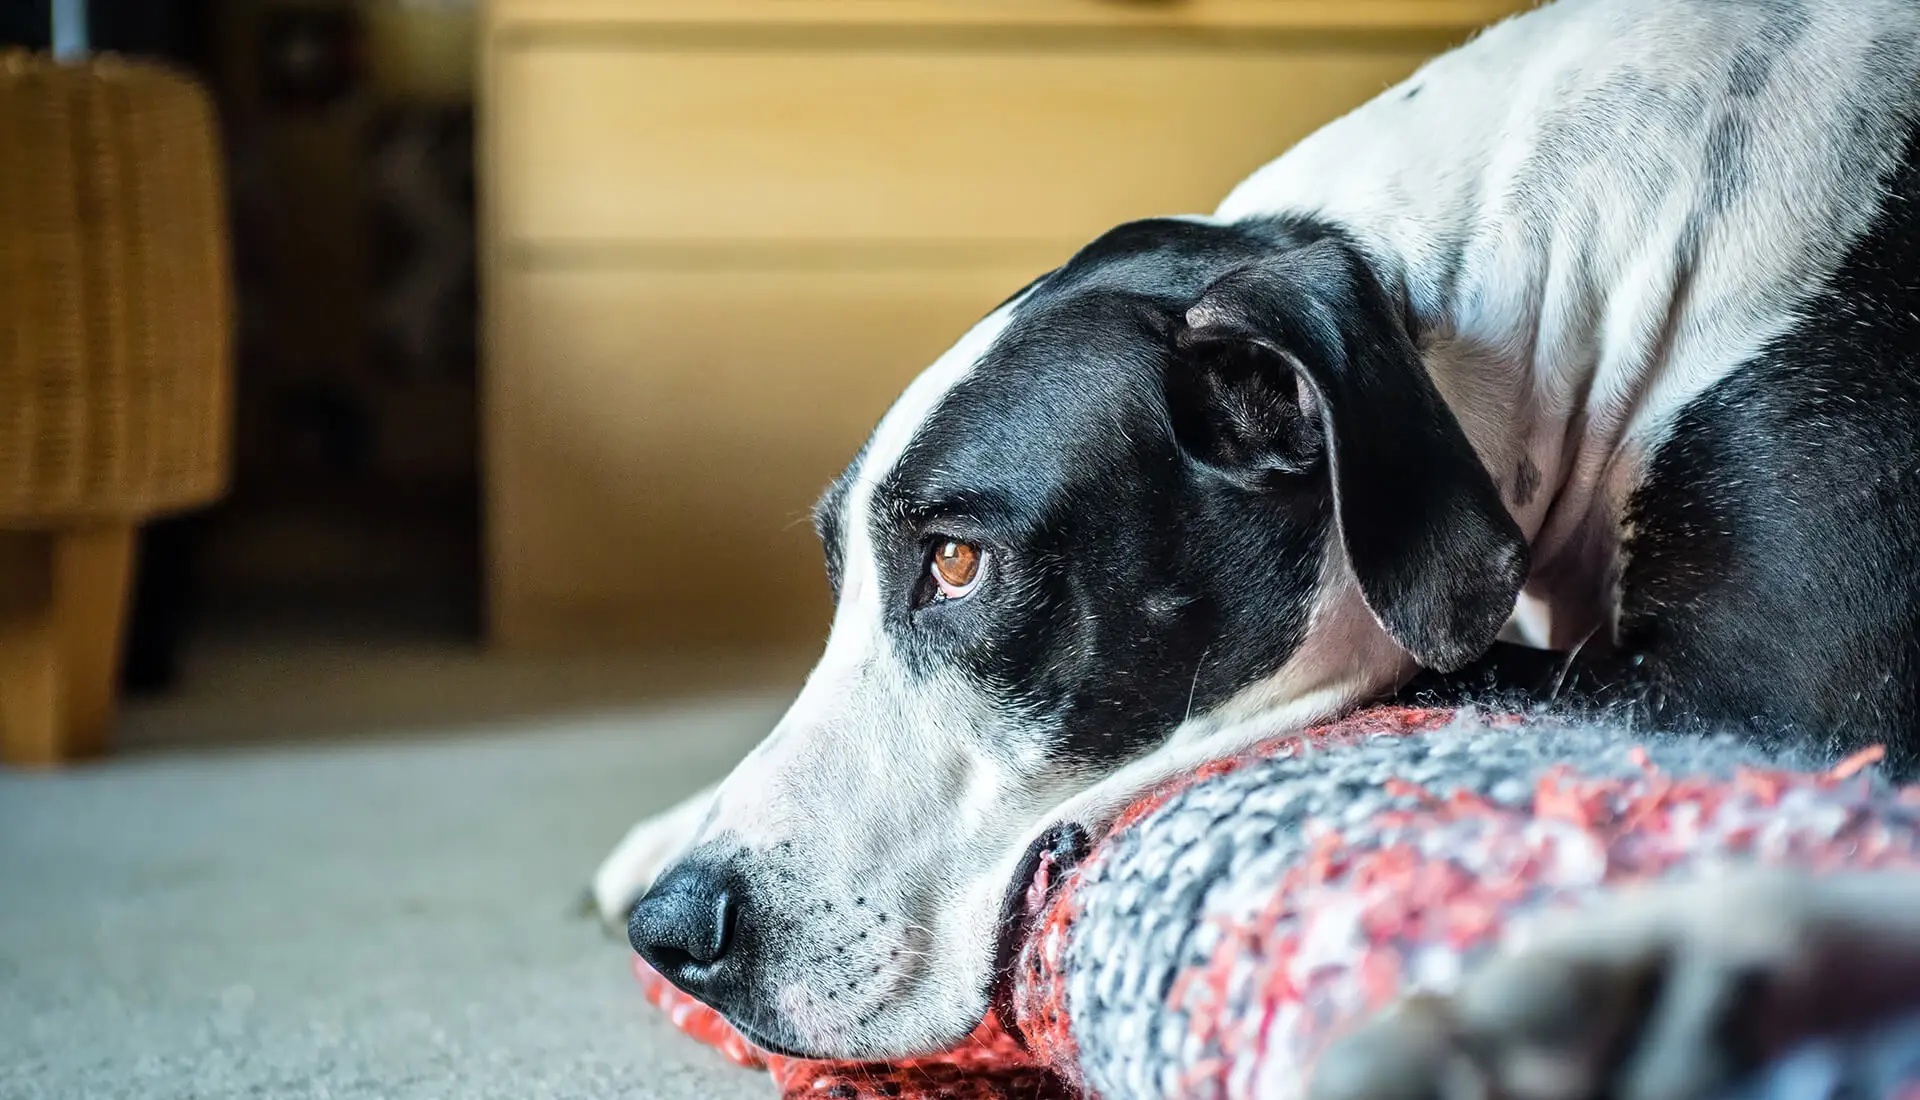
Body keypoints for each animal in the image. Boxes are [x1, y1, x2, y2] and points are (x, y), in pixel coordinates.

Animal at [591, 0, 1920, 1075]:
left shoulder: (1765, 688)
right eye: (843, 574)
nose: (673, 930)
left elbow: (1435, 671)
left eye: (957, 561)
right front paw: (663, 827)